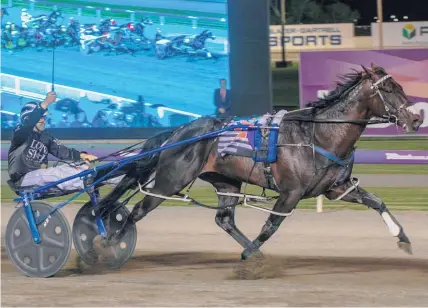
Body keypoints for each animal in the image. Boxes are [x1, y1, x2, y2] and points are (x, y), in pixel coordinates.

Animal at [93, 64, 422, 260]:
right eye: (389, 89)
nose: (416, 118)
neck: (318, 135)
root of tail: (179, 131)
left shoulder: (337, 188)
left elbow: (377, 202)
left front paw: (403, 238)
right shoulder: (291, 193)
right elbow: (271, 226)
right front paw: (249, 256)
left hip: (226, 181)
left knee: (223, 219)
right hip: (171, 180)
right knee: (136, 211)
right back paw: (108, 243)